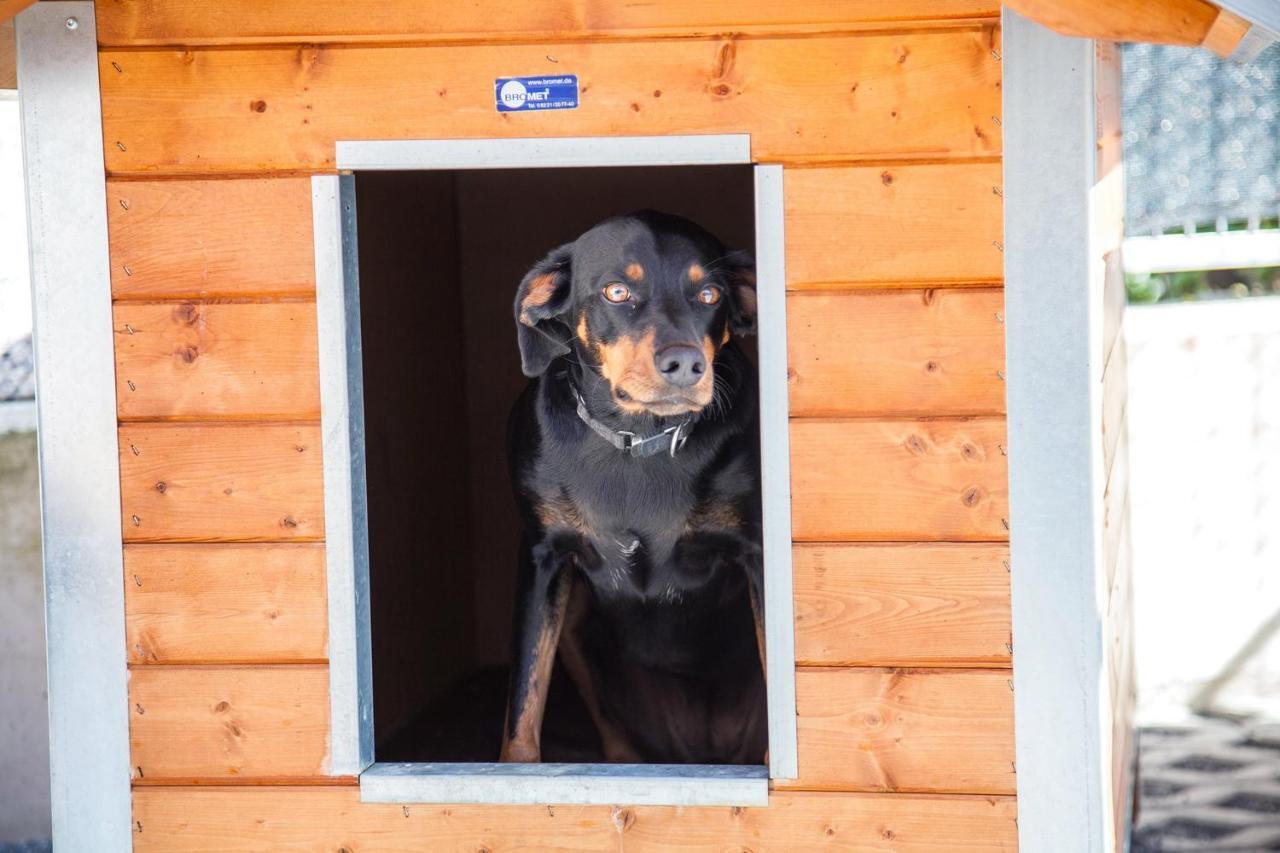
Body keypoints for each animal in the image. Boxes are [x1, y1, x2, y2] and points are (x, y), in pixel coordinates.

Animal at [499, 211, 762, 763]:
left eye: (710, 294)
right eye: (617, 292)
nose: (685, 364)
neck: (639, 437)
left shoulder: (757, 555)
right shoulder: (541, 559)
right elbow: (523, 709)